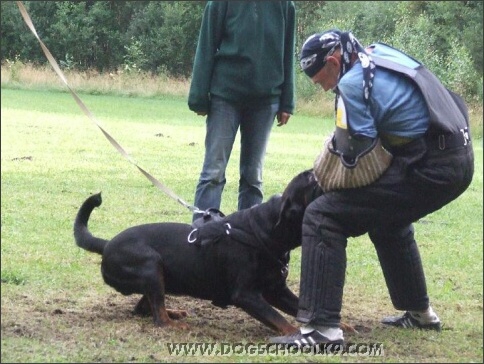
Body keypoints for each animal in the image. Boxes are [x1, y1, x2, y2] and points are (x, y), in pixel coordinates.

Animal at [73, 169, 320, 334]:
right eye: (311, 179)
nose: (314, 169)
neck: (261, 233)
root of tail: (106, 244)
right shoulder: (246, 295)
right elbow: (278, 318)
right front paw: (297, 336)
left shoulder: (276, 290)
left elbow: (300, 308)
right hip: (151, 266)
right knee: (157, 315)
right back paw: (173, 322)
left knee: (144, 307)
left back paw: (173, 312)